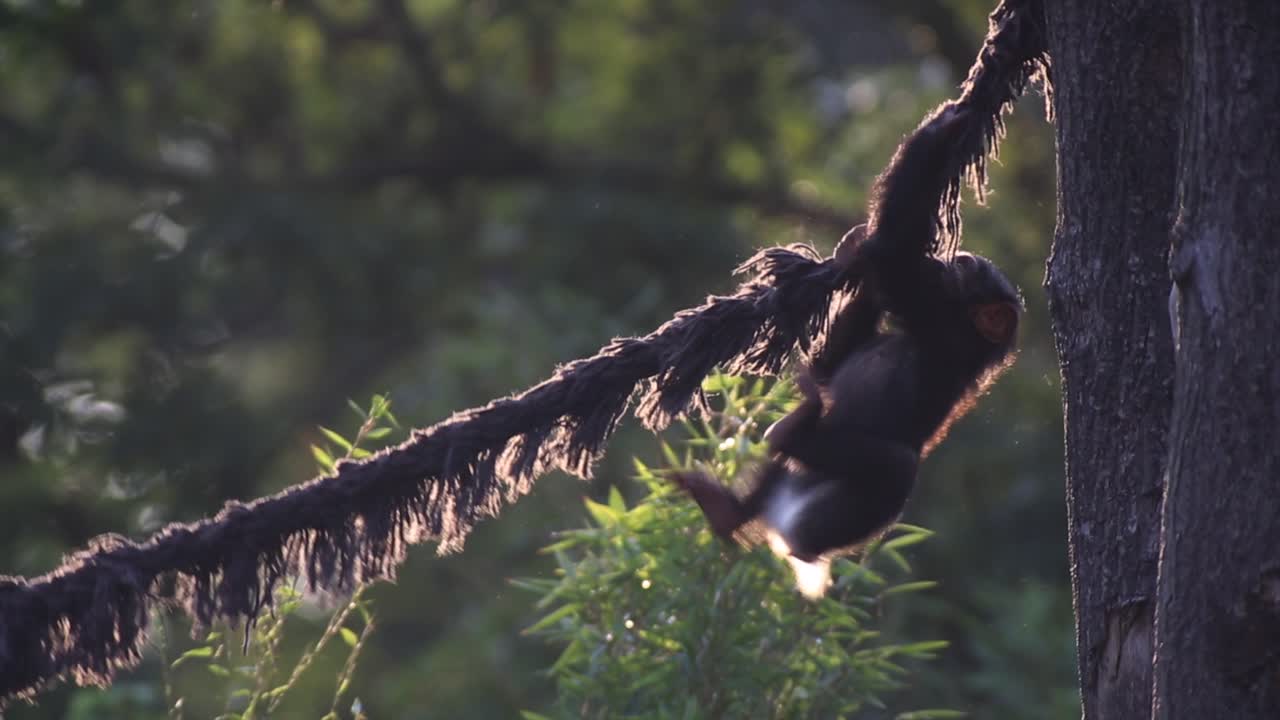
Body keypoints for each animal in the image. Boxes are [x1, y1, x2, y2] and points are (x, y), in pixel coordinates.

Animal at [673, 102, 1022, 597]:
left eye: (974, 270)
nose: (964, 257)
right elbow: (832, 362)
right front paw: (852, 248)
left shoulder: (937, 313)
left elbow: (893, 254)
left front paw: (939, 129)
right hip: (798, 480)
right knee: (776, 474)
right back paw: (729, 510)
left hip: (844, 468)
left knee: (892, 468)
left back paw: (791, 437)